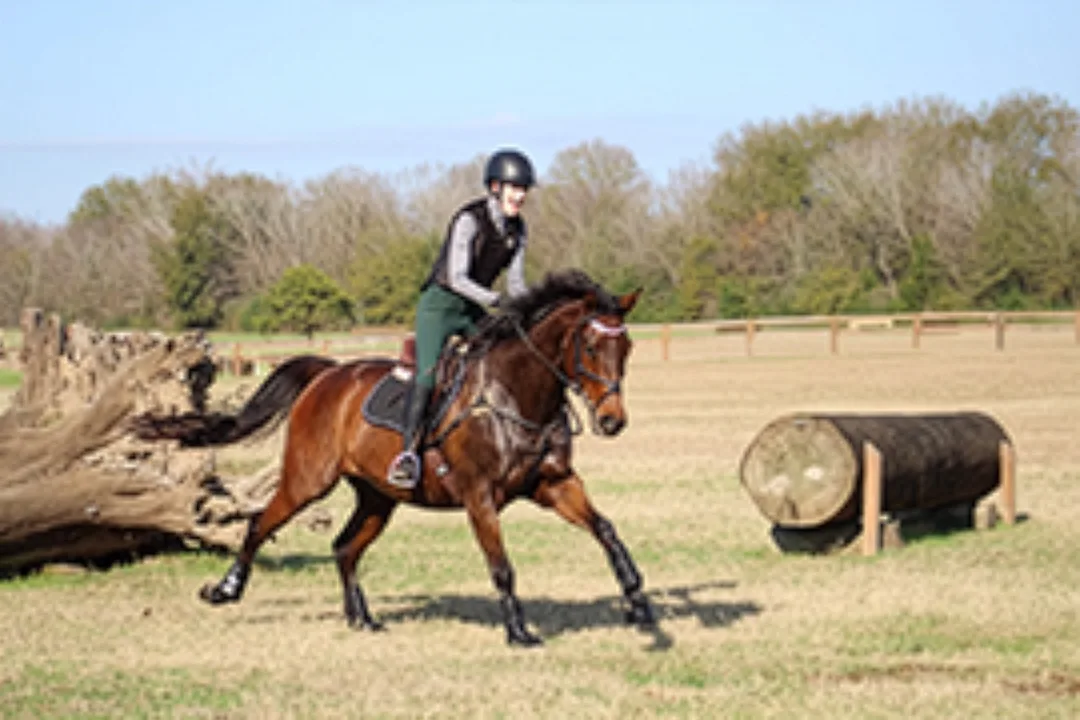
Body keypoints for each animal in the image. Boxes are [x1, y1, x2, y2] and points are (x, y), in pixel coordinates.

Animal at [131, 269, 656, 647]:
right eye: (591, 345)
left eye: (627, 346)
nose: (613, 421)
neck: (514, 395)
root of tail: (329, 374)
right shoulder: (479, 496)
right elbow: (501, 565)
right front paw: (518, 631)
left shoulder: (553, 485)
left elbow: (607, 531)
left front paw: (639, 604)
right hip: (308, 480)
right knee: (260, 523)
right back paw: (225, 590)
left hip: (378, 497)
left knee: (344, 547)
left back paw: (361, 618)